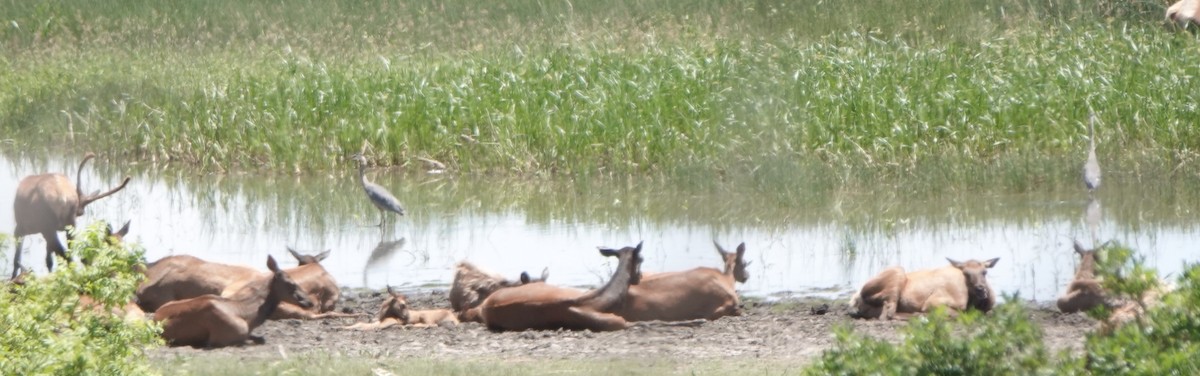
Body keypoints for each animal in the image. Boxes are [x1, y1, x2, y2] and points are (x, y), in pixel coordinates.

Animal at [153, 253, 314, 345]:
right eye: (291, 283)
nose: (310, 302)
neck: (250, 316)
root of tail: (155, 318)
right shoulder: (223, 337)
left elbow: (260, 338)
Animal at [854, 255, 1003, 317]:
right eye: (966, 273)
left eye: (984, 271)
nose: (981, 289)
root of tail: (855, 299)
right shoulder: (933, 302)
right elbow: (958, 313)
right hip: (898, 271)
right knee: (888, 312)